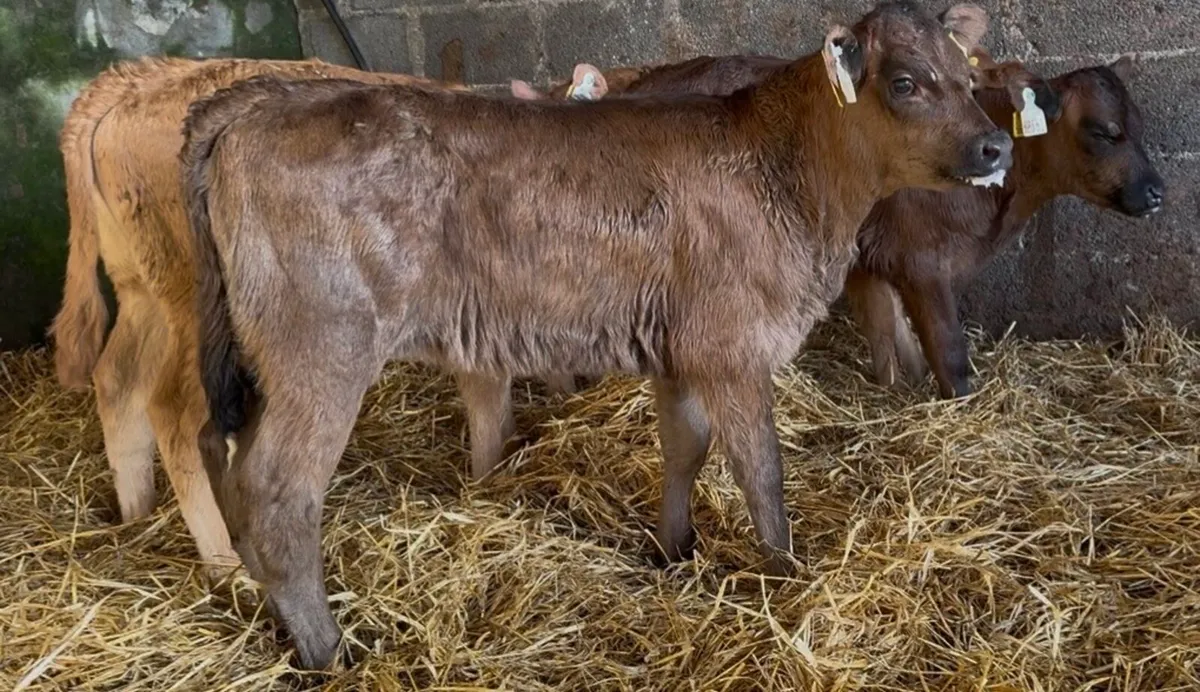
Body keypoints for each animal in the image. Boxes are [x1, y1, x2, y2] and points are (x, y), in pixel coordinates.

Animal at [182, 1, 1012, 668]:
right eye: (903, 82)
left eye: (967, 74)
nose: (996, 147)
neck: (789, 170)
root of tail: (259, 100)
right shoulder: (734, 347)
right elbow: (761, 471)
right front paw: (784, 576)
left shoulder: (682, 348)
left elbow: (686, 448)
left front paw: (674, 550)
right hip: (323, 345)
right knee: (278, 486)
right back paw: (328, 649)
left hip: (257, 351)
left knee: (216, 444)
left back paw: (255, 594)